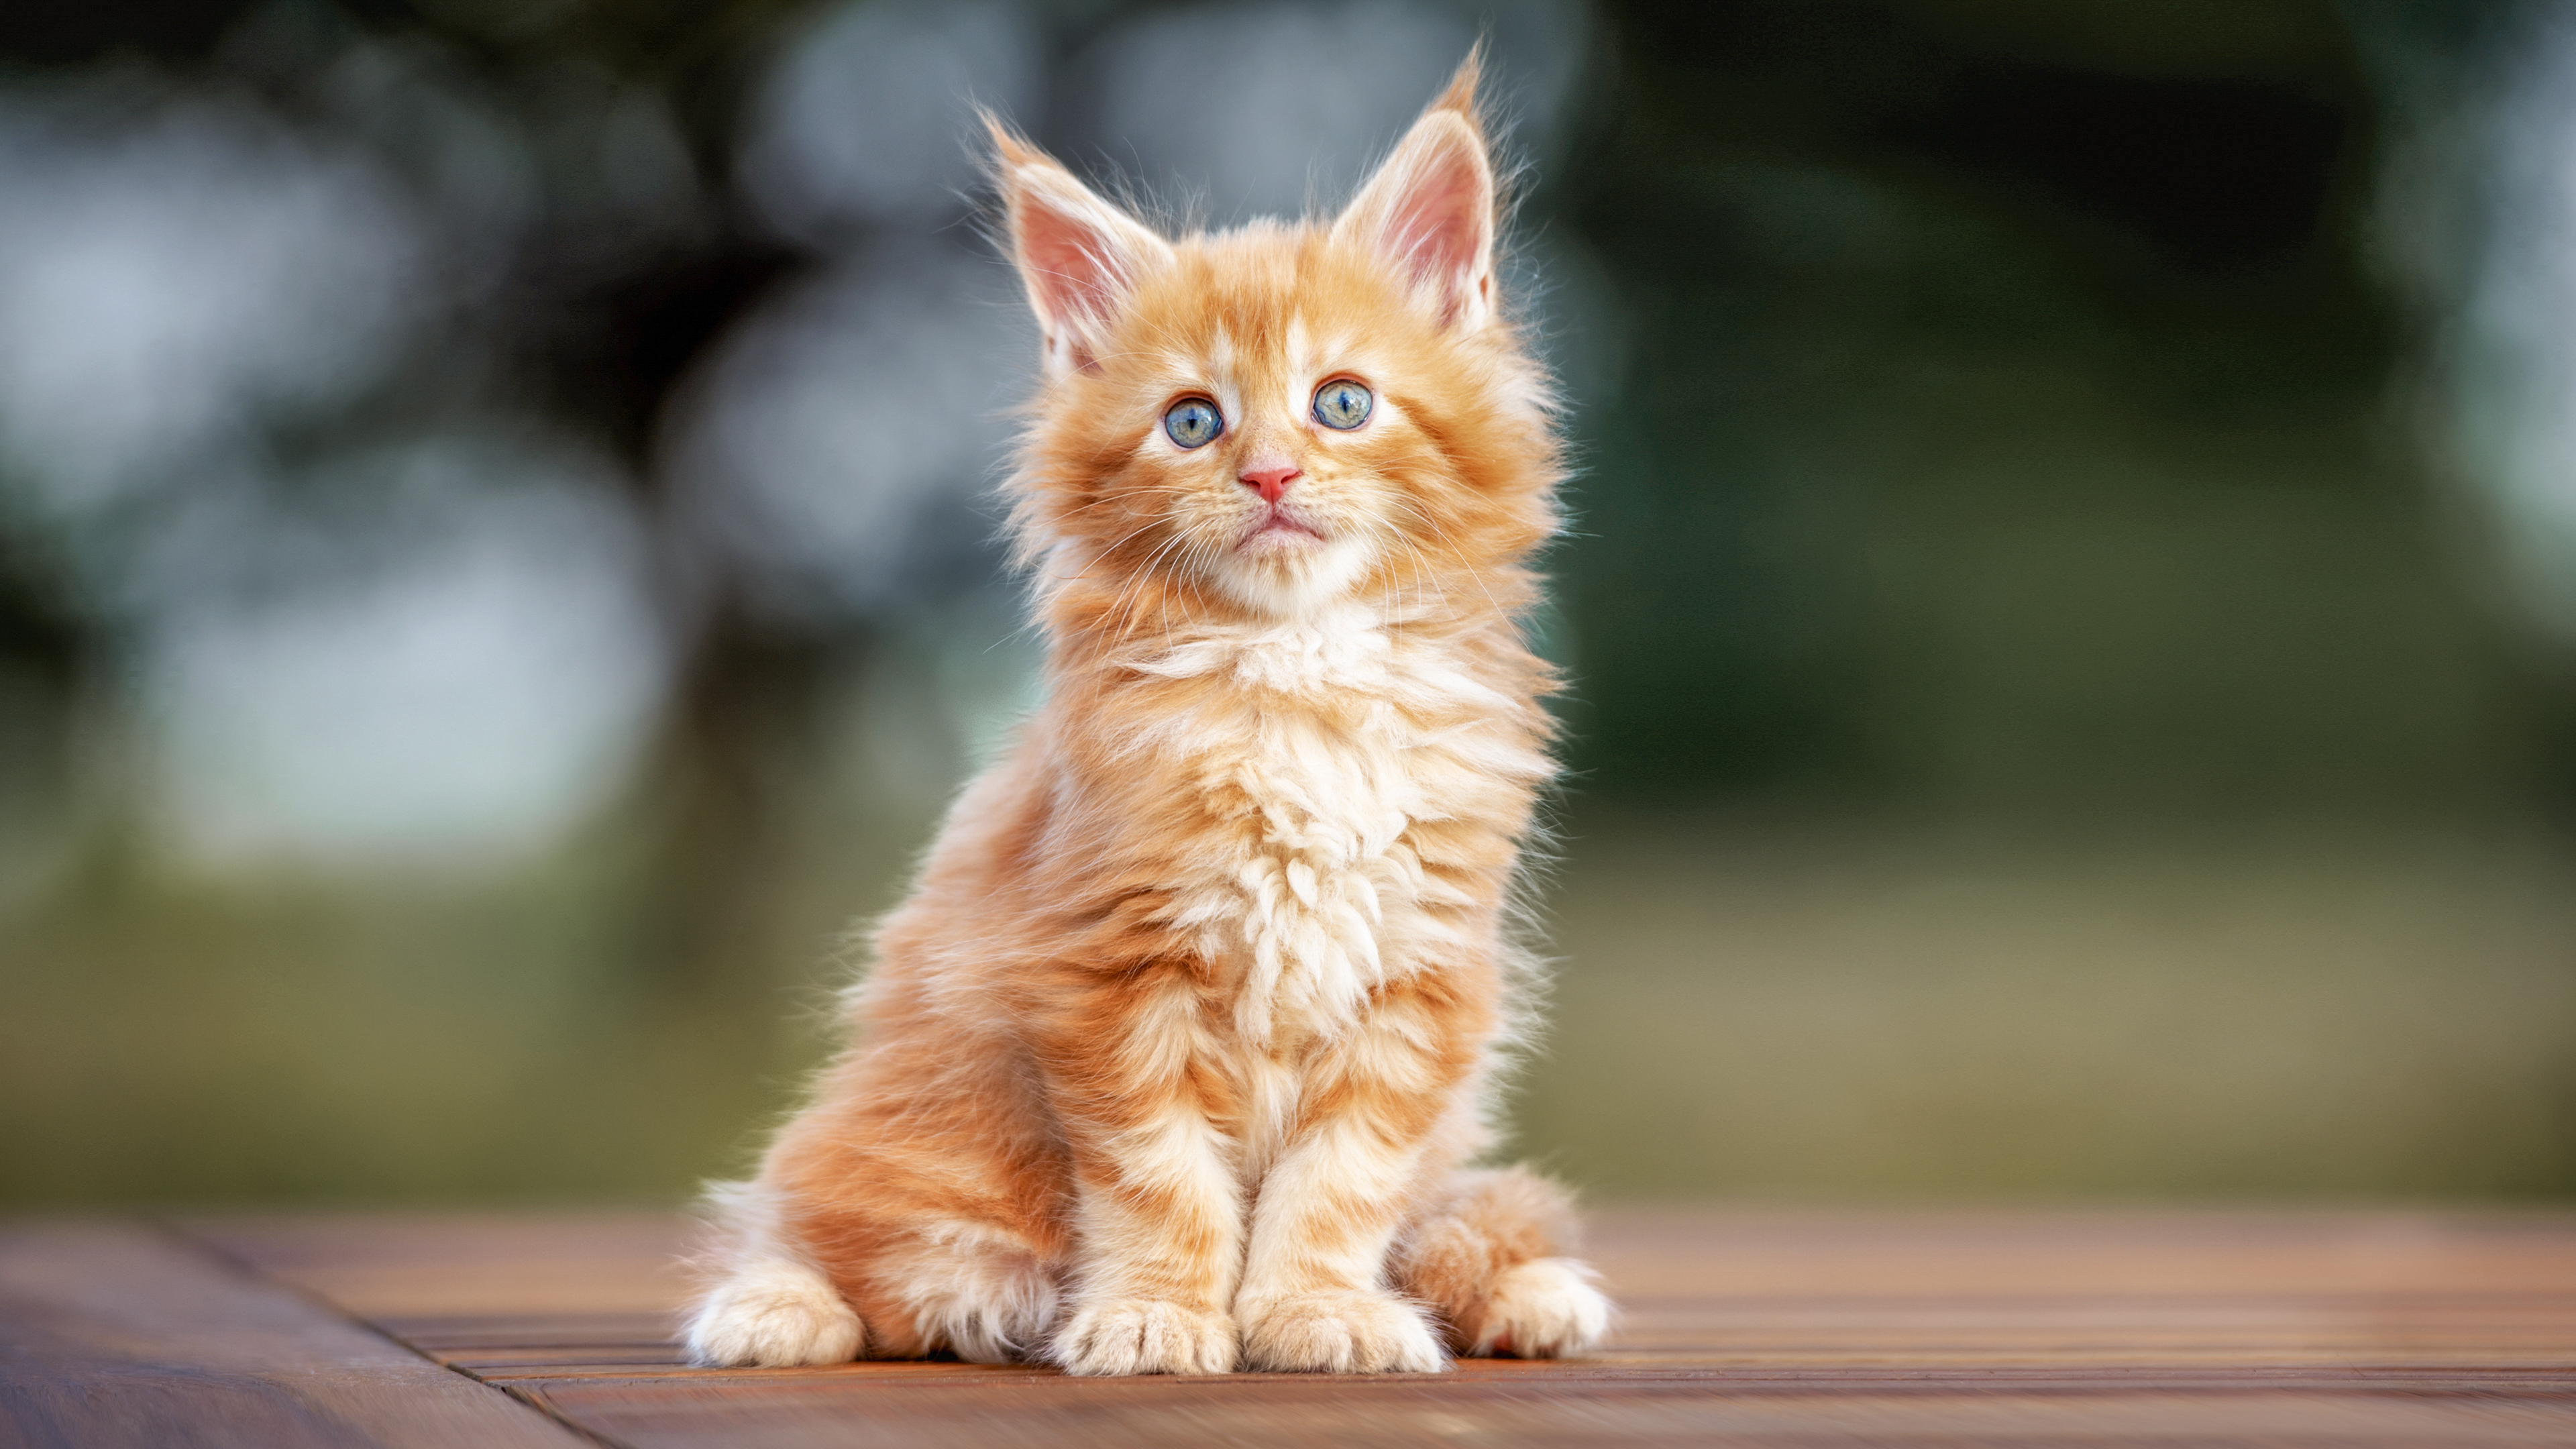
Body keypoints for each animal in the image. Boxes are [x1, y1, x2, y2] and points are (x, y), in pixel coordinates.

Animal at [685, 53, 1607, 1361]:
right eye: (1192, 422)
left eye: (1340, 403)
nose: (1269, 474)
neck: (1298, 671)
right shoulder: (1108, 976)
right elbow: (1162, 1179)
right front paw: (1159, 1317)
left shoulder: (1419, 979)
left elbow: (1342, 1183)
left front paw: (1314, 1308)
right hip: (912, 1180)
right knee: (839, 1251)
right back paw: (774, 1306)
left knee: (1447, 1215)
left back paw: (1519, 1293)